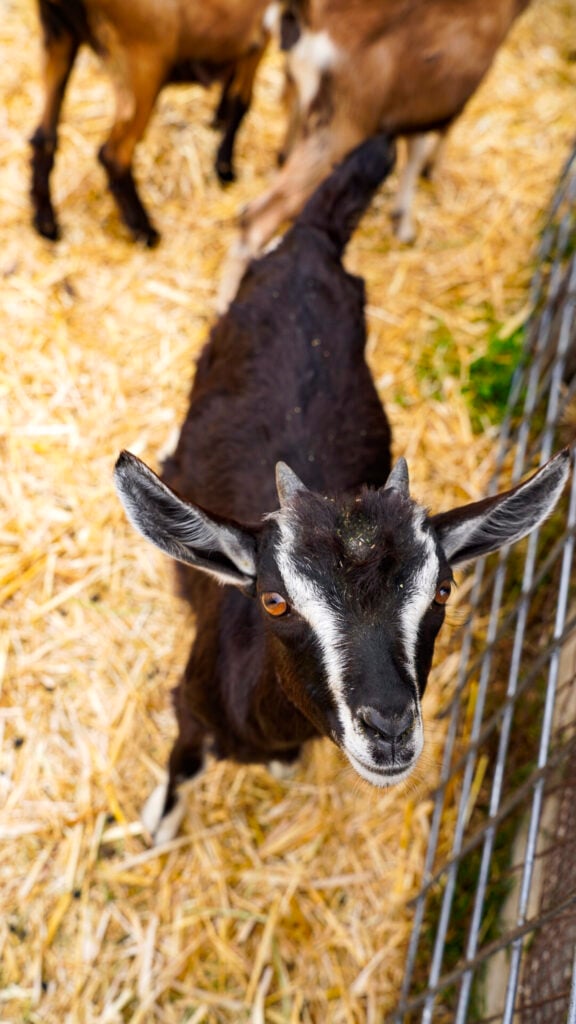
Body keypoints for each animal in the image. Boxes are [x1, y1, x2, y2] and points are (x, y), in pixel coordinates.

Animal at [30, 0, 275, 246]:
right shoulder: (259, 34)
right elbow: (241, 102)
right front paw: (225, 171)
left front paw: (217, 123)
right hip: (143, 59)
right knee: (113, 154)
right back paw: (145, 231)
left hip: (59, 36)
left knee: (43, 136)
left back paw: (47, 225)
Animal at [114, 134, 569, 844]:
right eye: (274, 600)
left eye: (443, 589)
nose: (389, 730)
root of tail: (312, 238)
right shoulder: (190, 704)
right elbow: (184, 760)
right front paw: (158, 825)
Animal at [219, 0, 531, 304]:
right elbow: (437, 133)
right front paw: (417, 198)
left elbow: (415, 144)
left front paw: (402, 217)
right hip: (340, 125)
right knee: (259, 216)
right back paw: (226, 300)